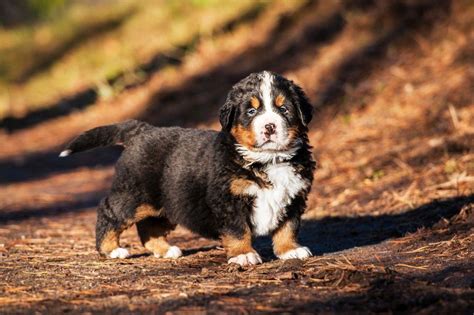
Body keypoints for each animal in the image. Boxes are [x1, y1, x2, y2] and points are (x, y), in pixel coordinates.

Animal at [61, 71, 316, 266]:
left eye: (284, 109)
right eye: (251, 112)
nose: (270, 127)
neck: (268, 160)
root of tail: (141, 130)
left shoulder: (294, 196)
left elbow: (288, 227)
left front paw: (290, 250)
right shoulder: (228, 200)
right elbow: (237, 230)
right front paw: (243, 255)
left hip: (167, 202)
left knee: (149, 228)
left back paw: (165, 250)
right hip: (134, 195)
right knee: (108, 211)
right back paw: (112, 249)